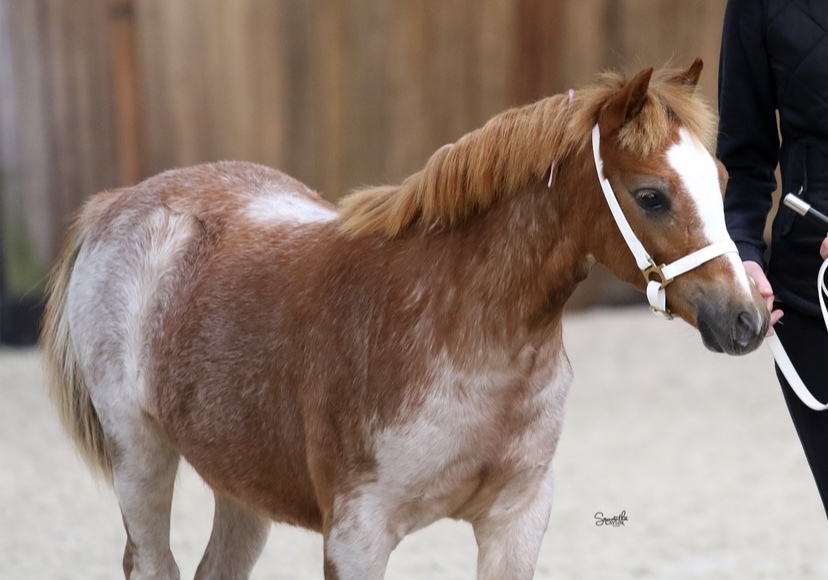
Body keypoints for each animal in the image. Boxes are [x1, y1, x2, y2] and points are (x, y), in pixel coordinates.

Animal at [41, 59, 769, 580]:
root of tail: (118, 203)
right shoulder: (357, 536)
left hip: (239, 483)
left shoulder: (516, 521)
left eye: (723, 179)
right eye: (652, 196)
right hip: (141, 457)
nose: (747, 320)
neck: (461, 329)